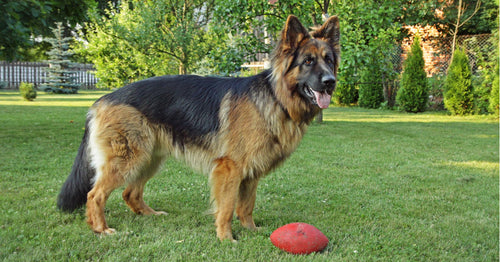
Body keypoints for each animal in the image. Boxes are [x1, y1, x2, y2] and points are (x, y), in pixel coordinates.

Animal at [57, 15, 340, 242]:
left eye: (328, 60)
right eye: (308, 61)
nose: (330, 82)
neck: (276, 98)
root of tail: (101, 100)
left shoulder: (251, 173)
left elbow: (246, 205)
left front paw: (251, 230)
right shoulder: (230, 169)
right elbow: (227, 207)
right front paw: (226, 238)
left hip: (149, 159)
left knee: (130, 193)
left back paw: (150, 214)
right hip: (128, 159)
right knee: (94, 195)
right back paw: (100, 229)